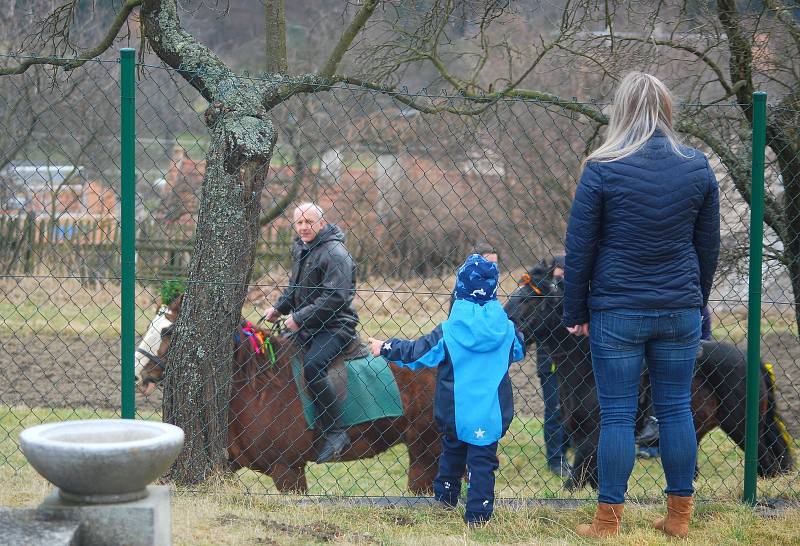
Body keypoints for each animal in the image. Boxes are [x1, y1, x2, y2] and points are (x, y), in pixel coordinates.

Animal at [136, 296, 438, 490]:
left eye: (168, 331)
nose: (139, 374)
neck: (259, 385)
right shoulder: (229, 462)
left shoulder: (288, 470)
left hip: (425, 452)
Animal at [506, 264, 792, 488]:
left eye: (530, 300)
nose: (507, 320)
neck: (587, 367)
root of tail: (753, 361)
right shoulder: (583, 438)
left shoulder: (592, 438)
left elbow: (574, 482)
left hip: (742, 426)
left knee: (766, 463)